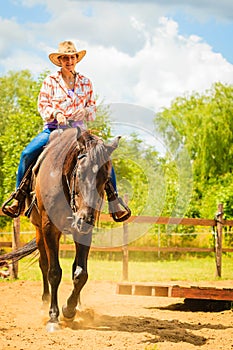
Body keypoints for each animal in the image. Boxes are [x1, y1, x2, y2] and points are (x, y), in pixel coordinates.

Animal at [26, 126, 119, 330]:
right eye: (80, 174)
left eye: (105, 179)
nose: (85, 219)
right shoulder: (49, 228)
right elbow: (54, 272)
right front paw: (53, 317)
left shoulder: (83, 233)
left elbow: (81, 273)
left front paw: (69, 309)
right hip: (39, 230)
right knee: (44, 264)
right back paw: (45, 302)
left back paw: (79, 305)